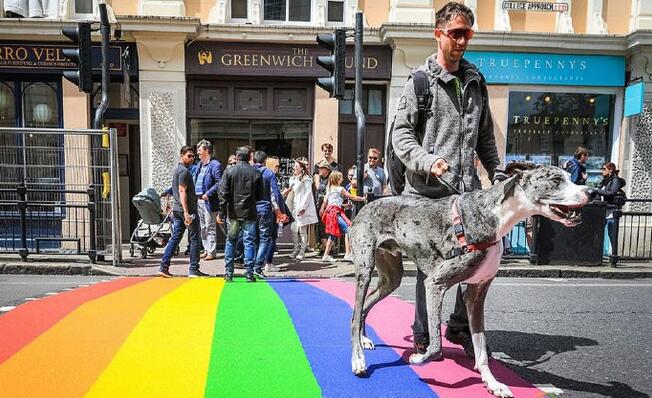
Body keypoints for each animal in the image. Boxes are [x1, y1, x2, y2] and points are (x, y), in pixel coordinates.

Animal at [348, 163, 592, 396]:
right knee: (356, 314)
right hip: (365, 270)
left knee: (364, 307)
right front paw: (419, 358)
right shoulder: (435, 283)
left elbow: (481, 349)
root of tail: (367, 204)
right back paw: (358, 359)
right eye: (556, 179)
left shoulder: (477, 294)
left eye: (570, 177)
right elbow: (436, 345)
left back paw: (364, 339)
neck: (494, 215)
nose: (592, 191)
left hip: (392, 278)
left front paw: (493, 384)